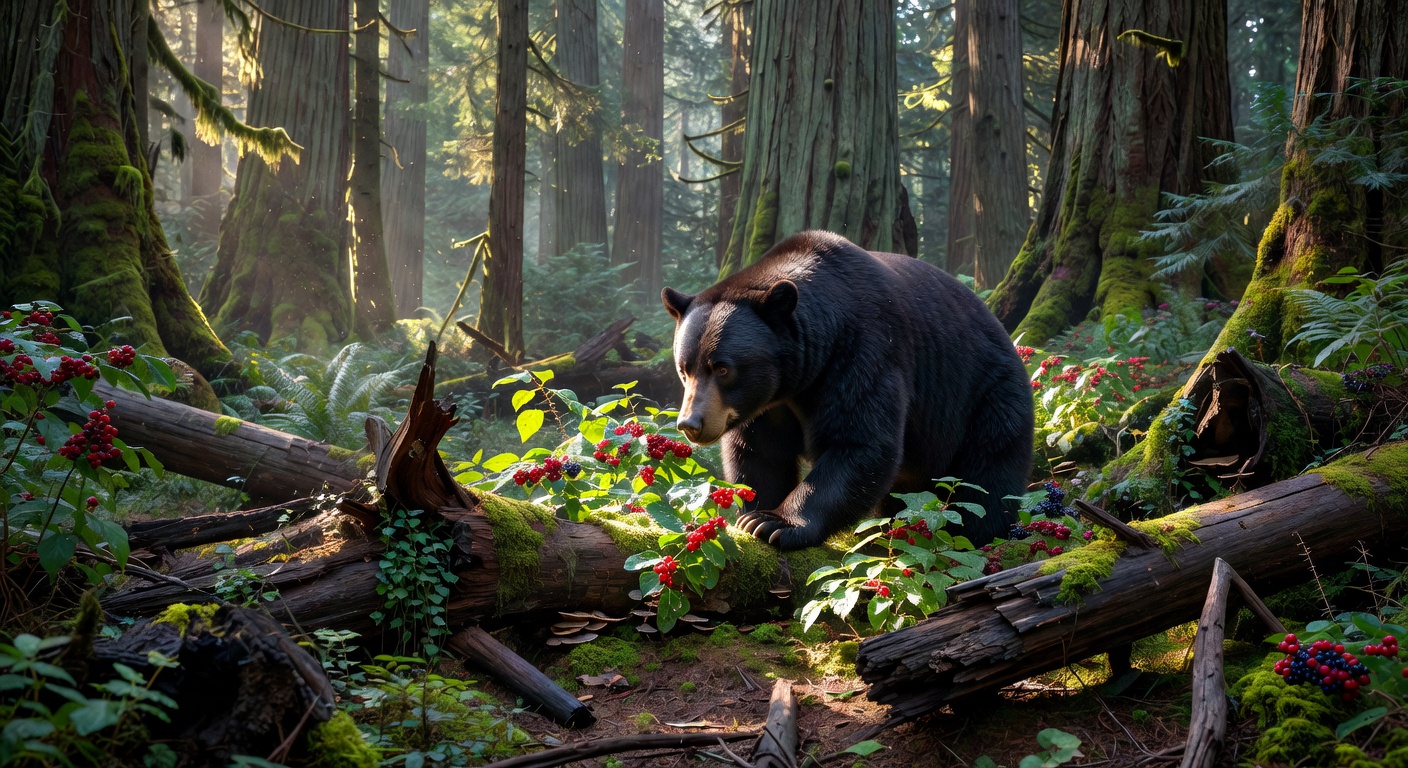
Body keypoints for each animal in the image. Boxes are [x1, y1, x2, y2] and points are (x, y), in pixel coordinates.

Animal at [661, 230, 1034, 549]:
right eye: (684, 368)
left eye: (723, 368)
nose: (690, 424)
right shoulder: (769, 401)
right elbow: (760, 451)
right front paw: (752, 513)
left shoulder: (863, 352)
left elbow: (859, 442)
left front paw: (775, 523)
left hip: (984, 399)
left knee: (985, 482)